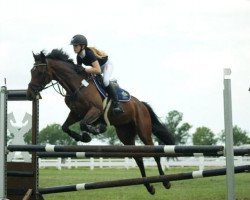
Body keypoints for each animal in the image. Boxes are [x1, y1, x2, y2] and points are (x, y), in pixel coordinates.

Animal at [26, 48, 175, 194]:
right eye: (31, 71)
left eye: (39, 72)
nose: (30, 93)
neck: (77, 85)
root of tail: (141, 104)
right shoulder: (76, 113)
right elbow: (65, 127)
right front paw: (84, 137)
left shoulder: (95, 110)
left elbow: (83, 124)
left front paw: (95, 131)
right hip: (125, 133)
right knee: (138, 158)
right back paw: (149, 186)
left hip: (143, 130)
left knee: (155, 154)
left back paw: (166, 182)